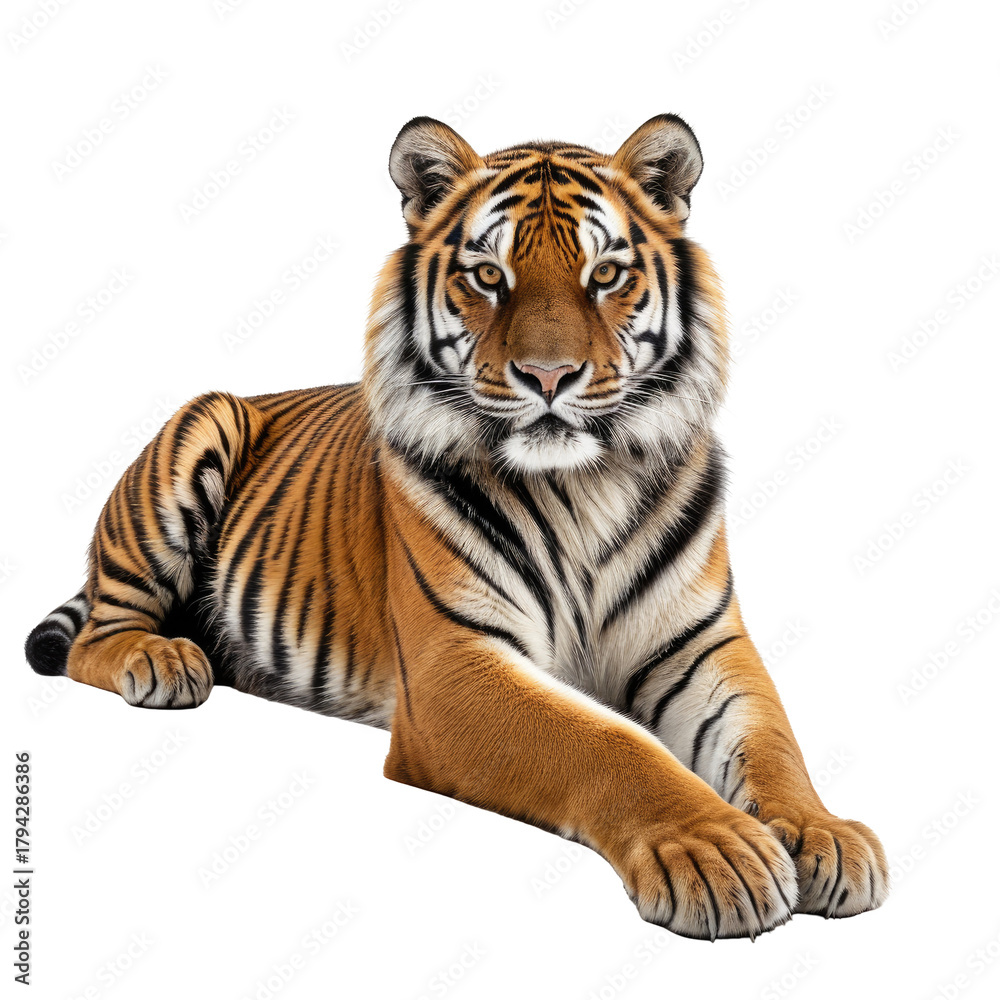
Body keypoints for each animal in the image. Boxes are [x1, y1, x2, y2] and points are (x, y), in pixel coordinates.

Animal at [25, 114, 888, 940]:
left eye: (606, 274)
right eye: (488, 275)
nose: (548, 376)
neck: (585, 483)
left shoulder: (703, 645)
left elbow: (772, 742)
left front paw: (824, 833)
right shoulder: (453, 667)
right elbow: (606, 743)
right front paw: (715, 849)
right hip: (204, 423)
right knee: (94, 638)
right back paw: (164, 660)